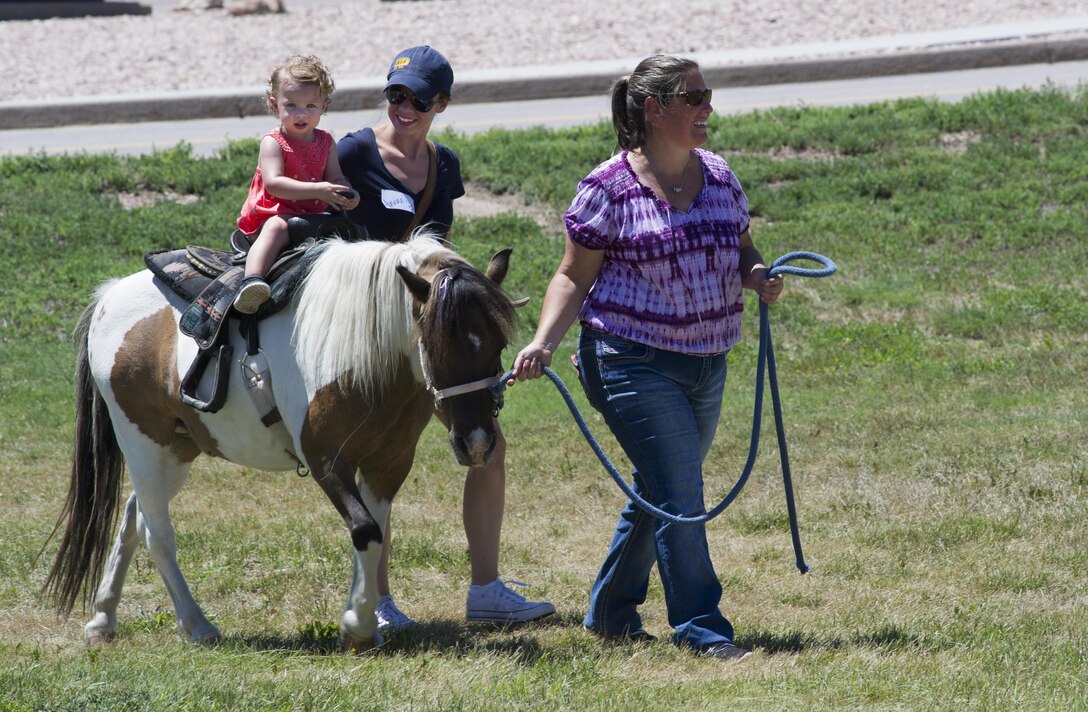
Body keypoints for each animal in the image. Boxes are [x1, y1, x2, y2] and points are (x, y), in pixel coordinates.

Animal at [42, 236, 517, 653]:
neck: (361, 350)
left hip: (176, 449)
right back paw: (196, 624)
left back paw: (103, 617)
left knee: (133, 517)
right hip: (142, 439)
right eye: (436, 344)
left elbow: (375, 535)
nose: (477, 443)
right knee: (157, 532)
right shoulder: (326, 459)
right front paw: (358, 626)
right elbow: (365, 531)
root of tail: (109, 296)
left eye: (499, 341)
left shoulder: (388, 464)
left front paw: (360, 619)